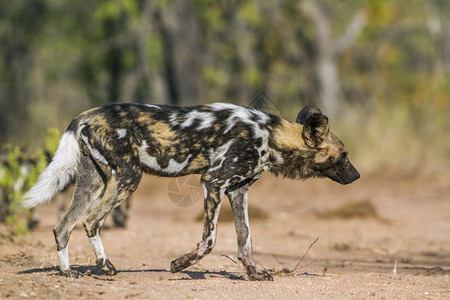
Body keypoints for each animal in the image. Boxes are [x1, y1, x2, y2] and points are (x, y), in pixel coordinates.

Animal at [22, 103, 360, 282]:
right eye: (343, 155)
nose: (357, 176)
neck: (269, 136)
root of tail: (87, 114)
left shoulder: (238, 191)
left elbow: (246, 240)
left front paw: (254, 274)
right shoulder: (213, 182)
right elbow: (209, 241)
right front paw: (180, 264)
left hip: (93, 183)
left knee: (63, 226)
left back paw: (68, 272)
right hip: (129, 177)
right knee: (91, 221)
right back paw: (106, 268)